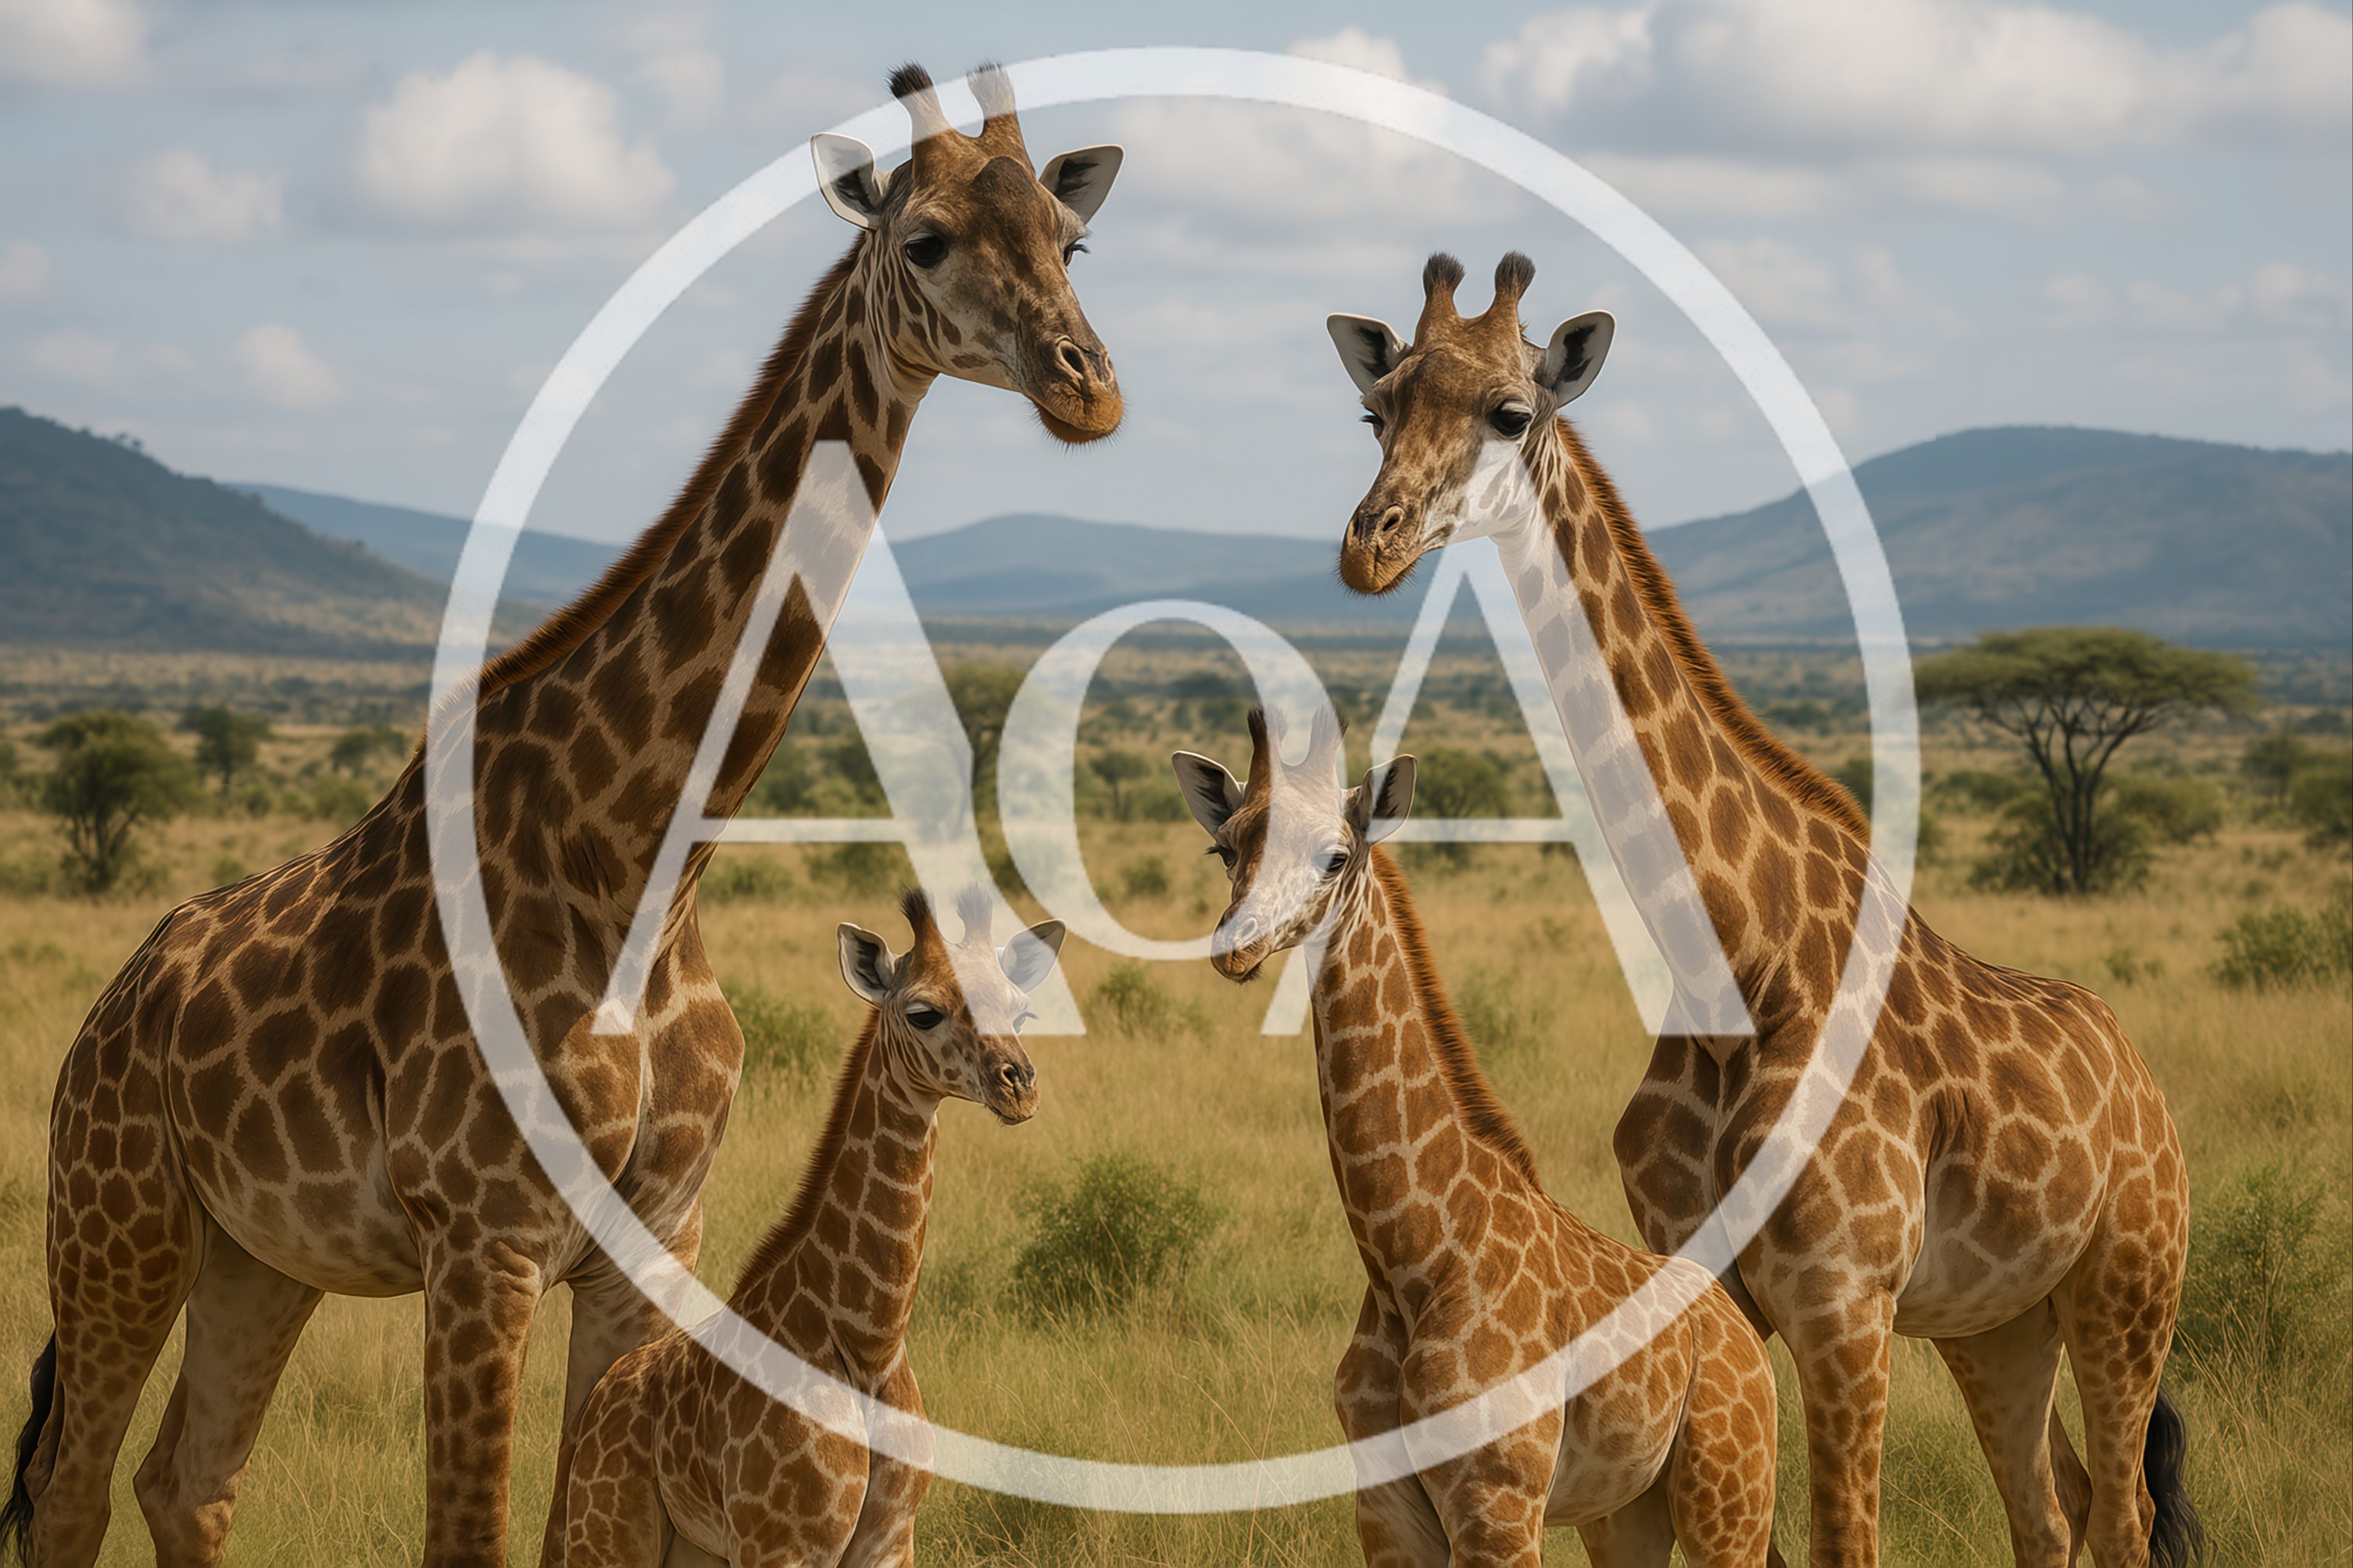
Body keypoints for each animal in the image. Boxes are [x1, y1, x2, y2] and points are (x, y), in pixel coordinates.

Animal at [560, 889, 1062, 1568]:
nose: (1020, 1087)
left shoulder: (891, 1538)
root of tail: (600, 1397)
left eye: (1020, 1009)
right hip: (613, 1528)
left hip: (692, 1547)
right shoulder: (782, 1541)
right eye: (923, 1012)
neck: (870, 1340)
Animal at [1171, 708, 1779, 1567]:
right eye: (1225, 847)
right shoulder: (1384, 1511)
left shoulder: (1497, 1503)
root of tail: (1742, 1334)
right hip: (1624, 1510)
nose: (1234, 945)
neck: (1413, 1258)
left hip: (1728, 1488)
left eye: (1335, 856)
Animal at [1319, 251, 2201, 1568]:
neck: (1734, 960)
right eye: (1376, 411)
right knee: (2047, 1510)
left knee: (2124, 1509)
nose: (1367, 548)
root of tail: (2144, 1079)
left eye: (1509, 412)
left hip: (2125, 1281)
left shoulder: (1840, 1296)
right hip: (1995, 1319)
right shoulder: (1718, 1291)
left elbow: (1845, 1542)